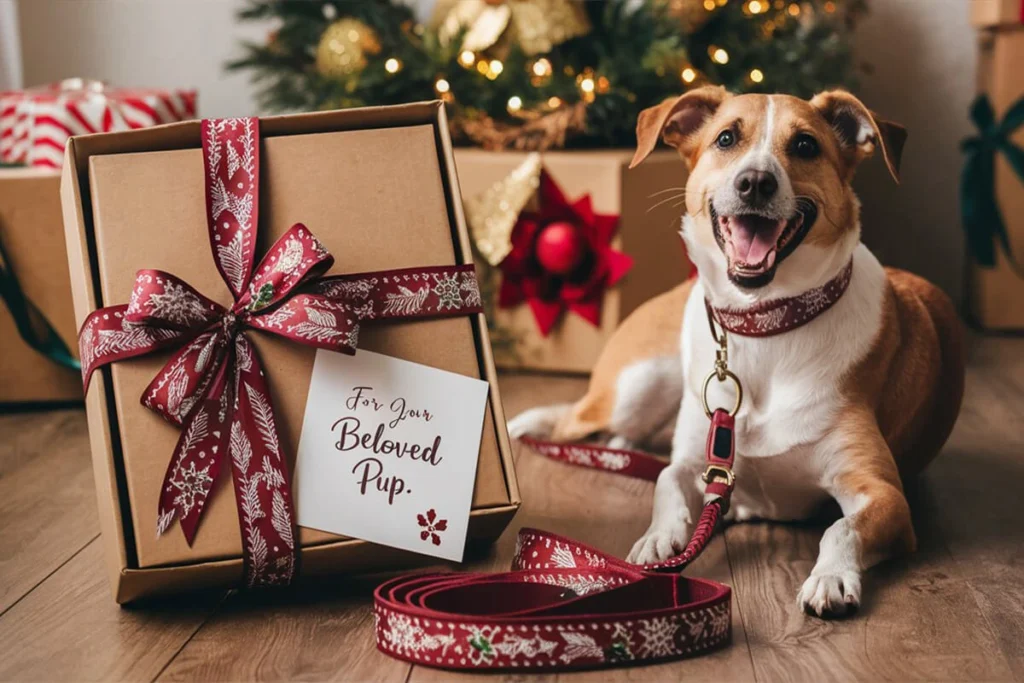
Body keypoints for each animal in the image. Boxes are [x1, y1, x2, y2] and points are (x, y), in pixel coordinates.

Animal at [512, 88, 966, 618]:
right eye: (726, 138)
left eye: (806, 145)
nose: (755, 183)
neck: (764, 328)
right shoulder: (699, 460)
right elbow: (667, 479)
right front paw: (657, 538)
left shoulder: (883, 494)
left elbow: (840, 528)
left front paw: (830, 577)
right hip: (637, 388)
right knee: (579, 421)